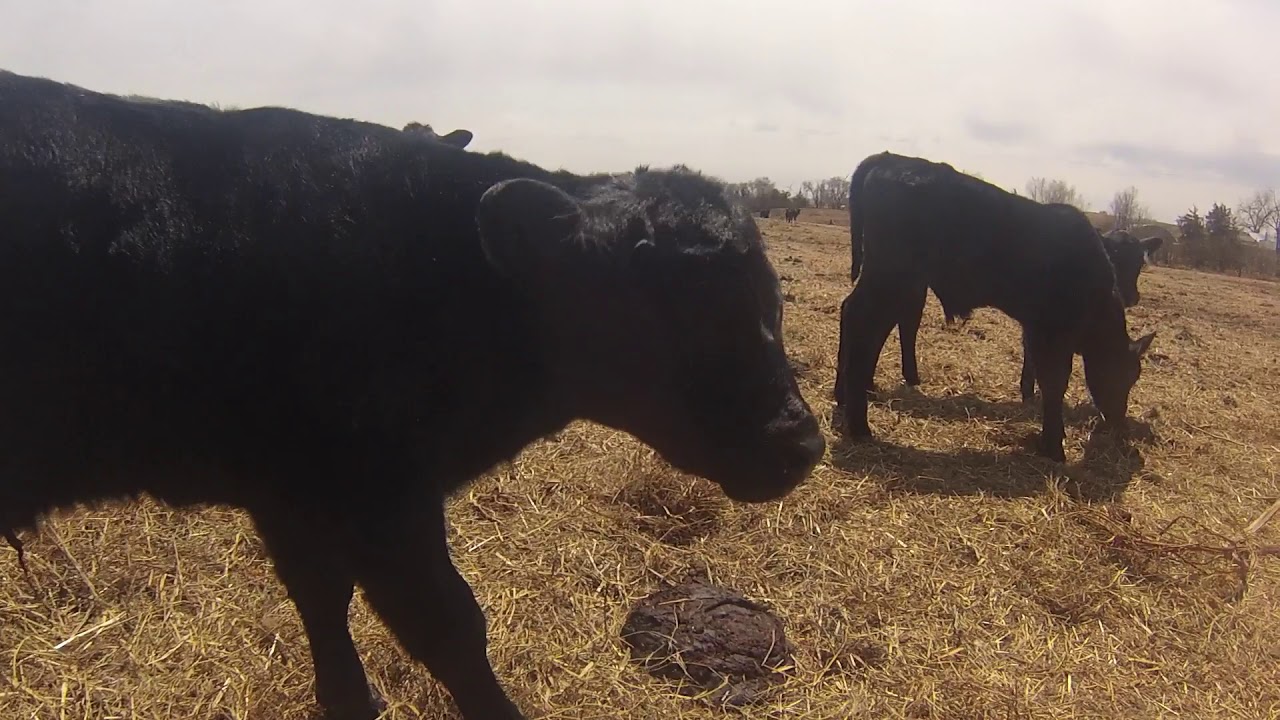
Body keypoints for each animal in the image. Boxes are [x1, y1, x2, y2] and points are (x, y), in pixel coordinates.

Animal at [0, 70, 825, 720]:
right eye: (691, 308)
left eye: (772, 299)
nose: (802, 442)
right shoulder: (379, 496)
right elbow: (449, 627)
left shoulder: (293, 493)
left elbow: (322, 598)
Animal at [833, 151, 1155, 462]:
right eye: (1124, 375)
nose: (1117, 422)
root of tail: (888, 159)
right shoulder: (1052, 333)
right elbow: (1054, 383)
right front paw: (1054, 446)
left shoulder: (1036, 329)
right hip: (891, 278)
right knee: (862, 322)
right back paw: (859, 425)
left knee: (861, 321)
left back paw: (845, 399)